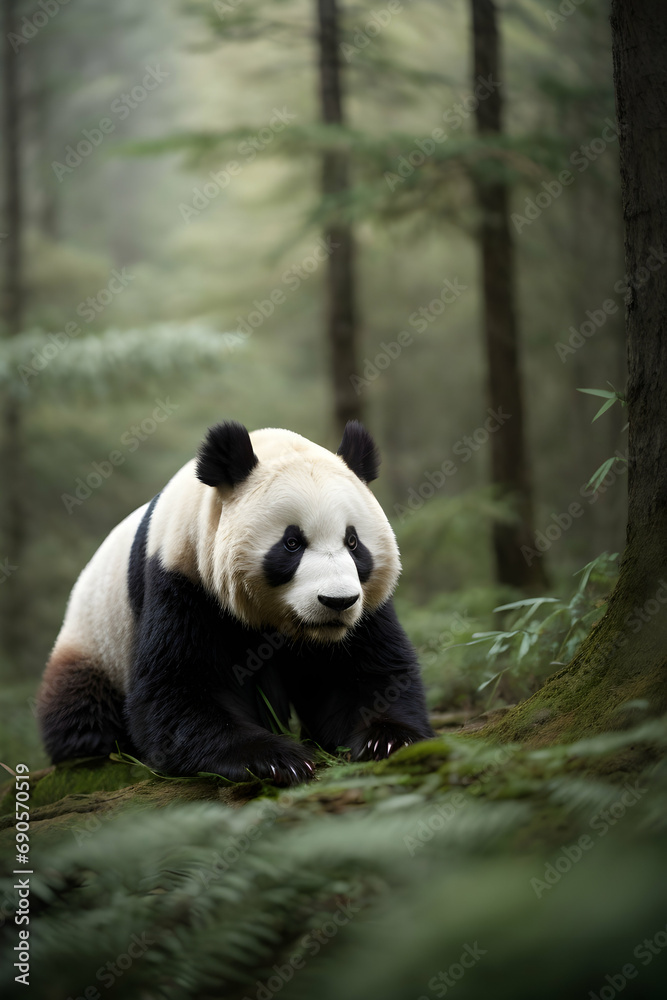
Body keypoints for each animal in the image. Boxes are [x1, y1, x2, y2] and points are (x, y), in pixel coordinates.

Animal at [38, 420, 433, 785]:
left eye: (353, 542)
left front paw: (388, 740)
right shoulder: (182, 577)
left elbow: (367, 671)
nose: (337, 602)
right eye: (292, 543)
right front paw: (275, 759)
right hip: (94, 640)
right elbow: (180, 687)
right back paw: (94, 757)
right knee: (81, 706)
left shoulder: (365, 610)